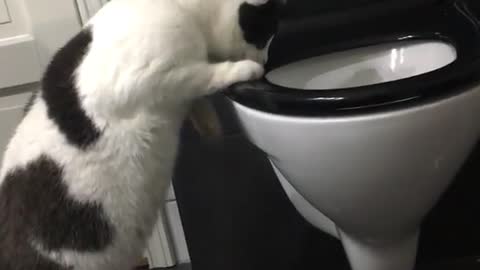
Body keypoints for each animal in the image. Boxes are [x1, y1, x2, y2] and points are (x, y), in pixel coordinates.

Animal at [0, 0, 284, 268]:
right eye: (264, 34)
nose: (265, 62)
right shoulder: (151, 80)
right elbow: (202, 75)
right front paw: (244, 69)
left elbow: (197, 96)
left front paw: (210, 125)